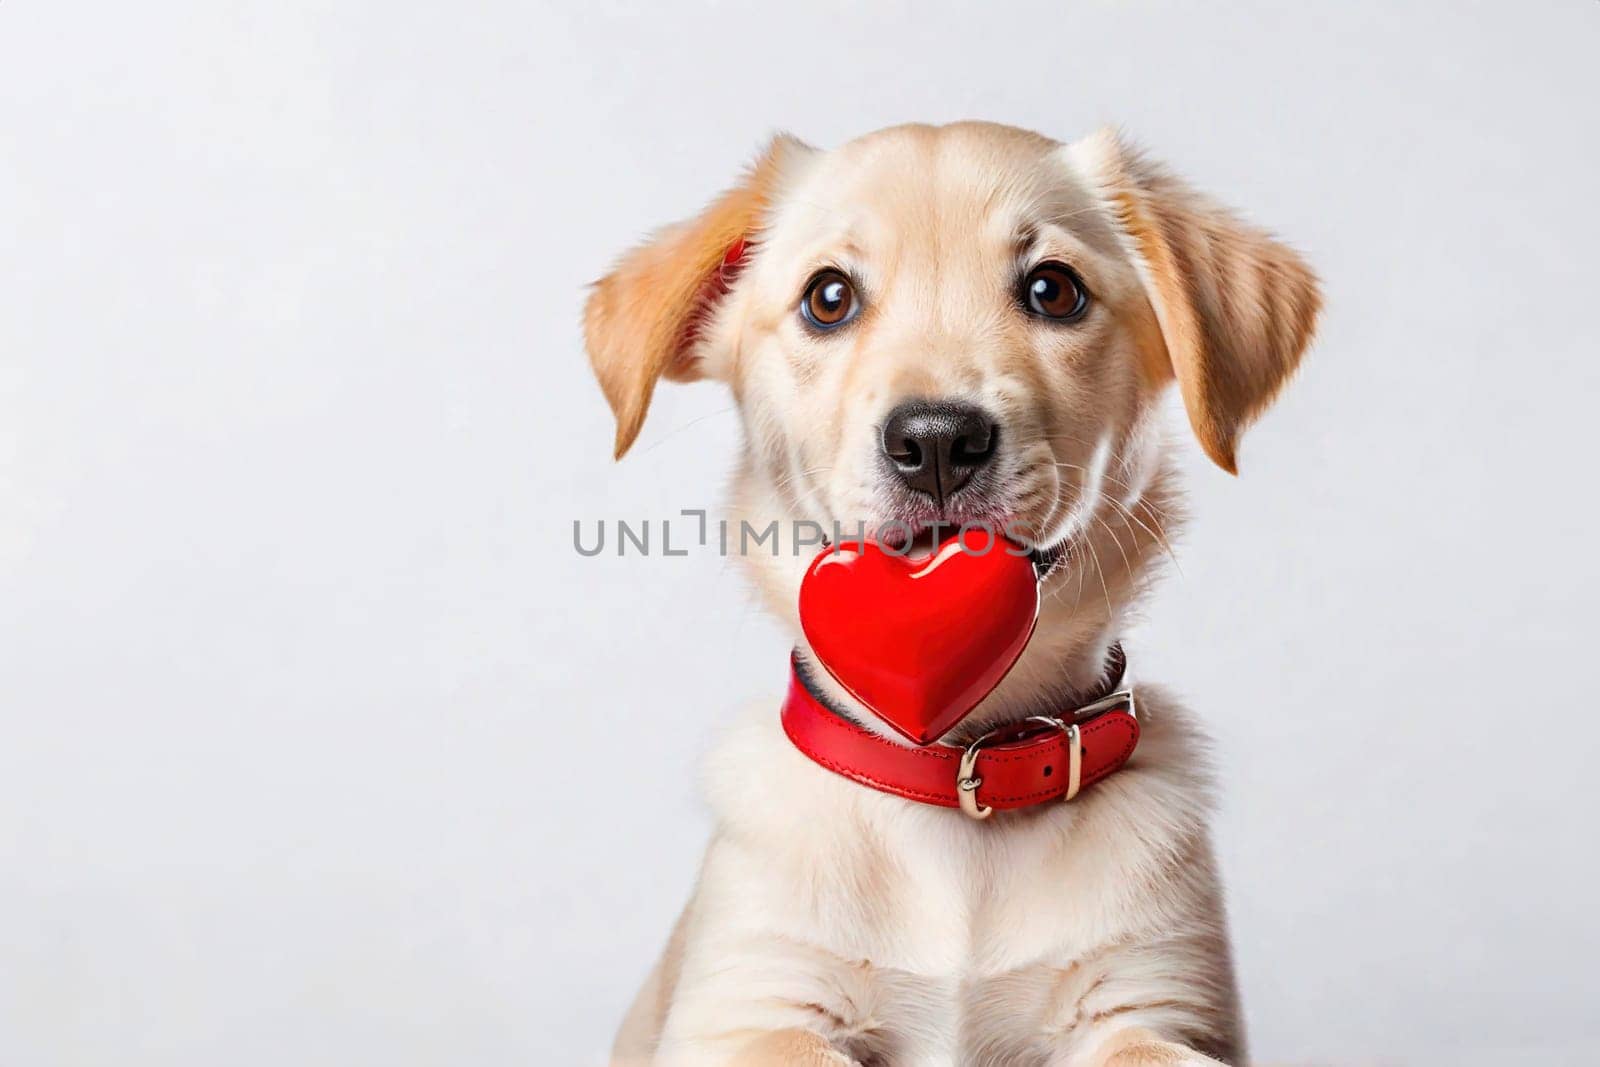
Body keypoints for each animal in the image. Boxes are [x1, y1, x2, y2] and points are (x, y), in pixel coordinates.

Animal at [582, 120, 1318, 1062]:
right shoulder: (749, 1007)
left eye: (1053, 290)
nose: (936, 440)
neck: (951, 778)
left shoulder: (1157, 1003)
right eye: (828, 298)